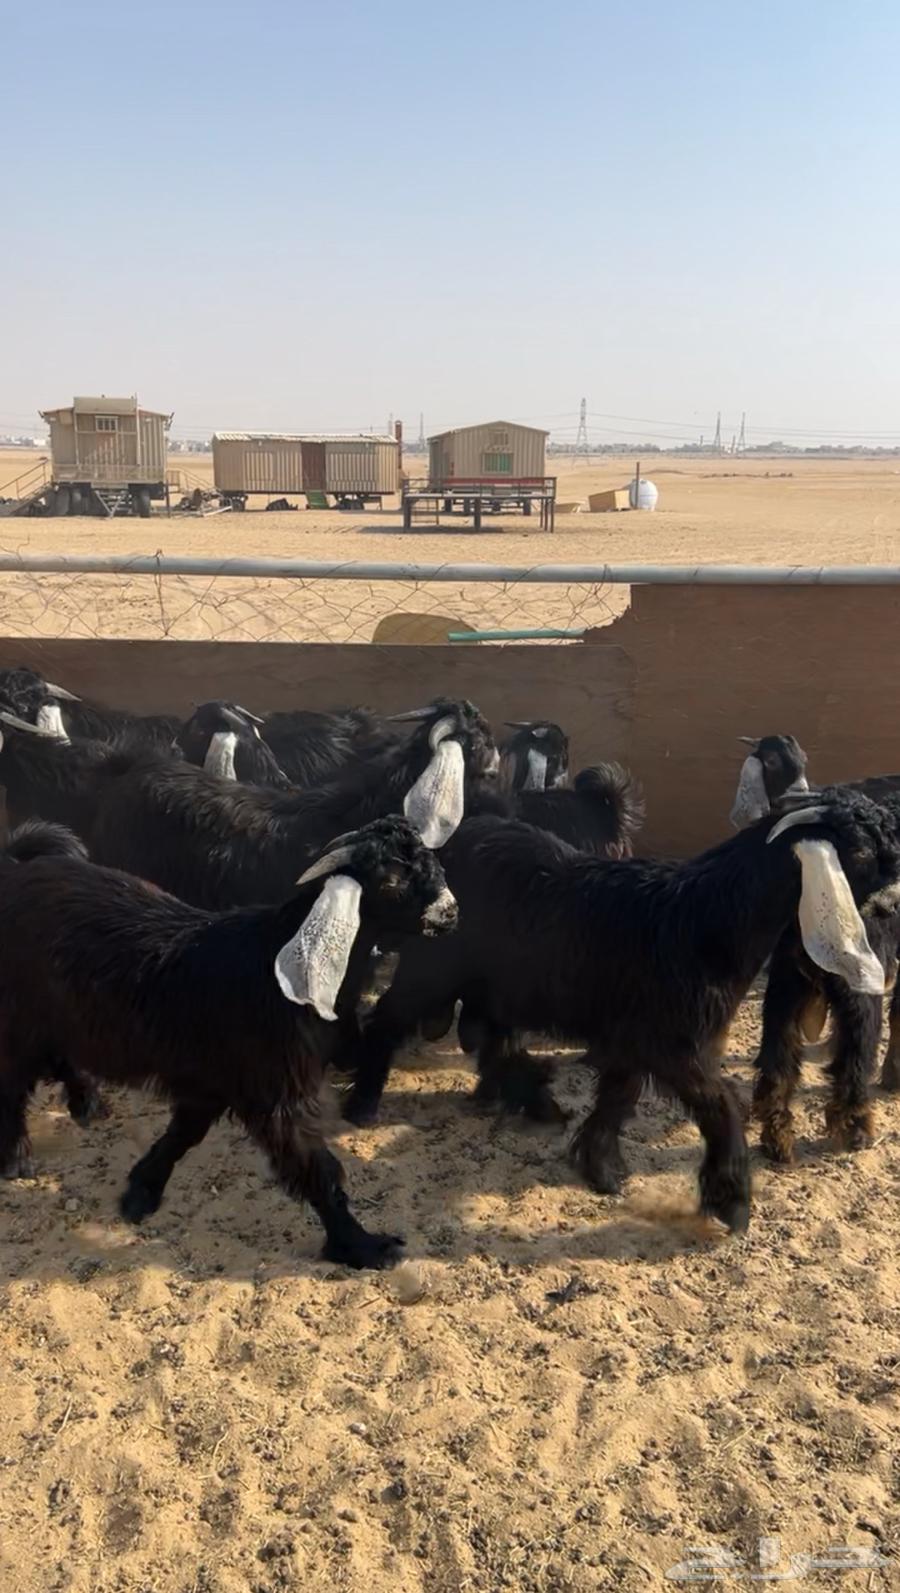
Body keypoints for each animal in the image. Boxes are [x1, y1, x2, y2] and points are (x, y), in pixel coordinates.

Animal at [0, 816, 457, 1269]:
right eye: (391, 880)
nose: (450, 913)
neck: (276, 969)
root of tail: (17, 870)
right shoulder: (275, 1093)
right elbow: (316, 1169)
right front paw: (363, 1246)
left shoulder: (215, 1080)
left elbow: (183, 1134)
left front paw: (141, 1192)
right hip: (21, 1018)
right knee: (15, 1081)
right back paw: (18, 1156)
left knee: (57, 1056)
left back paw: (87, 1103)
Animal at [343, 791, 900, 1233]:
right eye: (860, 849)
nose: (891, 907)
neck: (711, 915)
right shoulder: (671, 1040)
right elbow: (719, 1104)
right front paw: (732, 1201)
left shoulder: (635, 1037)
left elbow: (618, 1097)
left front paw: (600, 1167)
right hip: (432, 967)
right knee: (389, 1019)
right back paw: (363, 1102)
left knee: (492, 1035)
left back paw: (532, 1100)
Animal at [730, 734, 900, 1159]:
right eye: (860, 851)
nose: (892, 903)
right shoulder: (789, 983)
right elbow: (782, 1056)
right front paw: (778, 1138)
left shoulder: (856, 989)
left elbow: (853, 1053)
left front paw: (853, 1128)